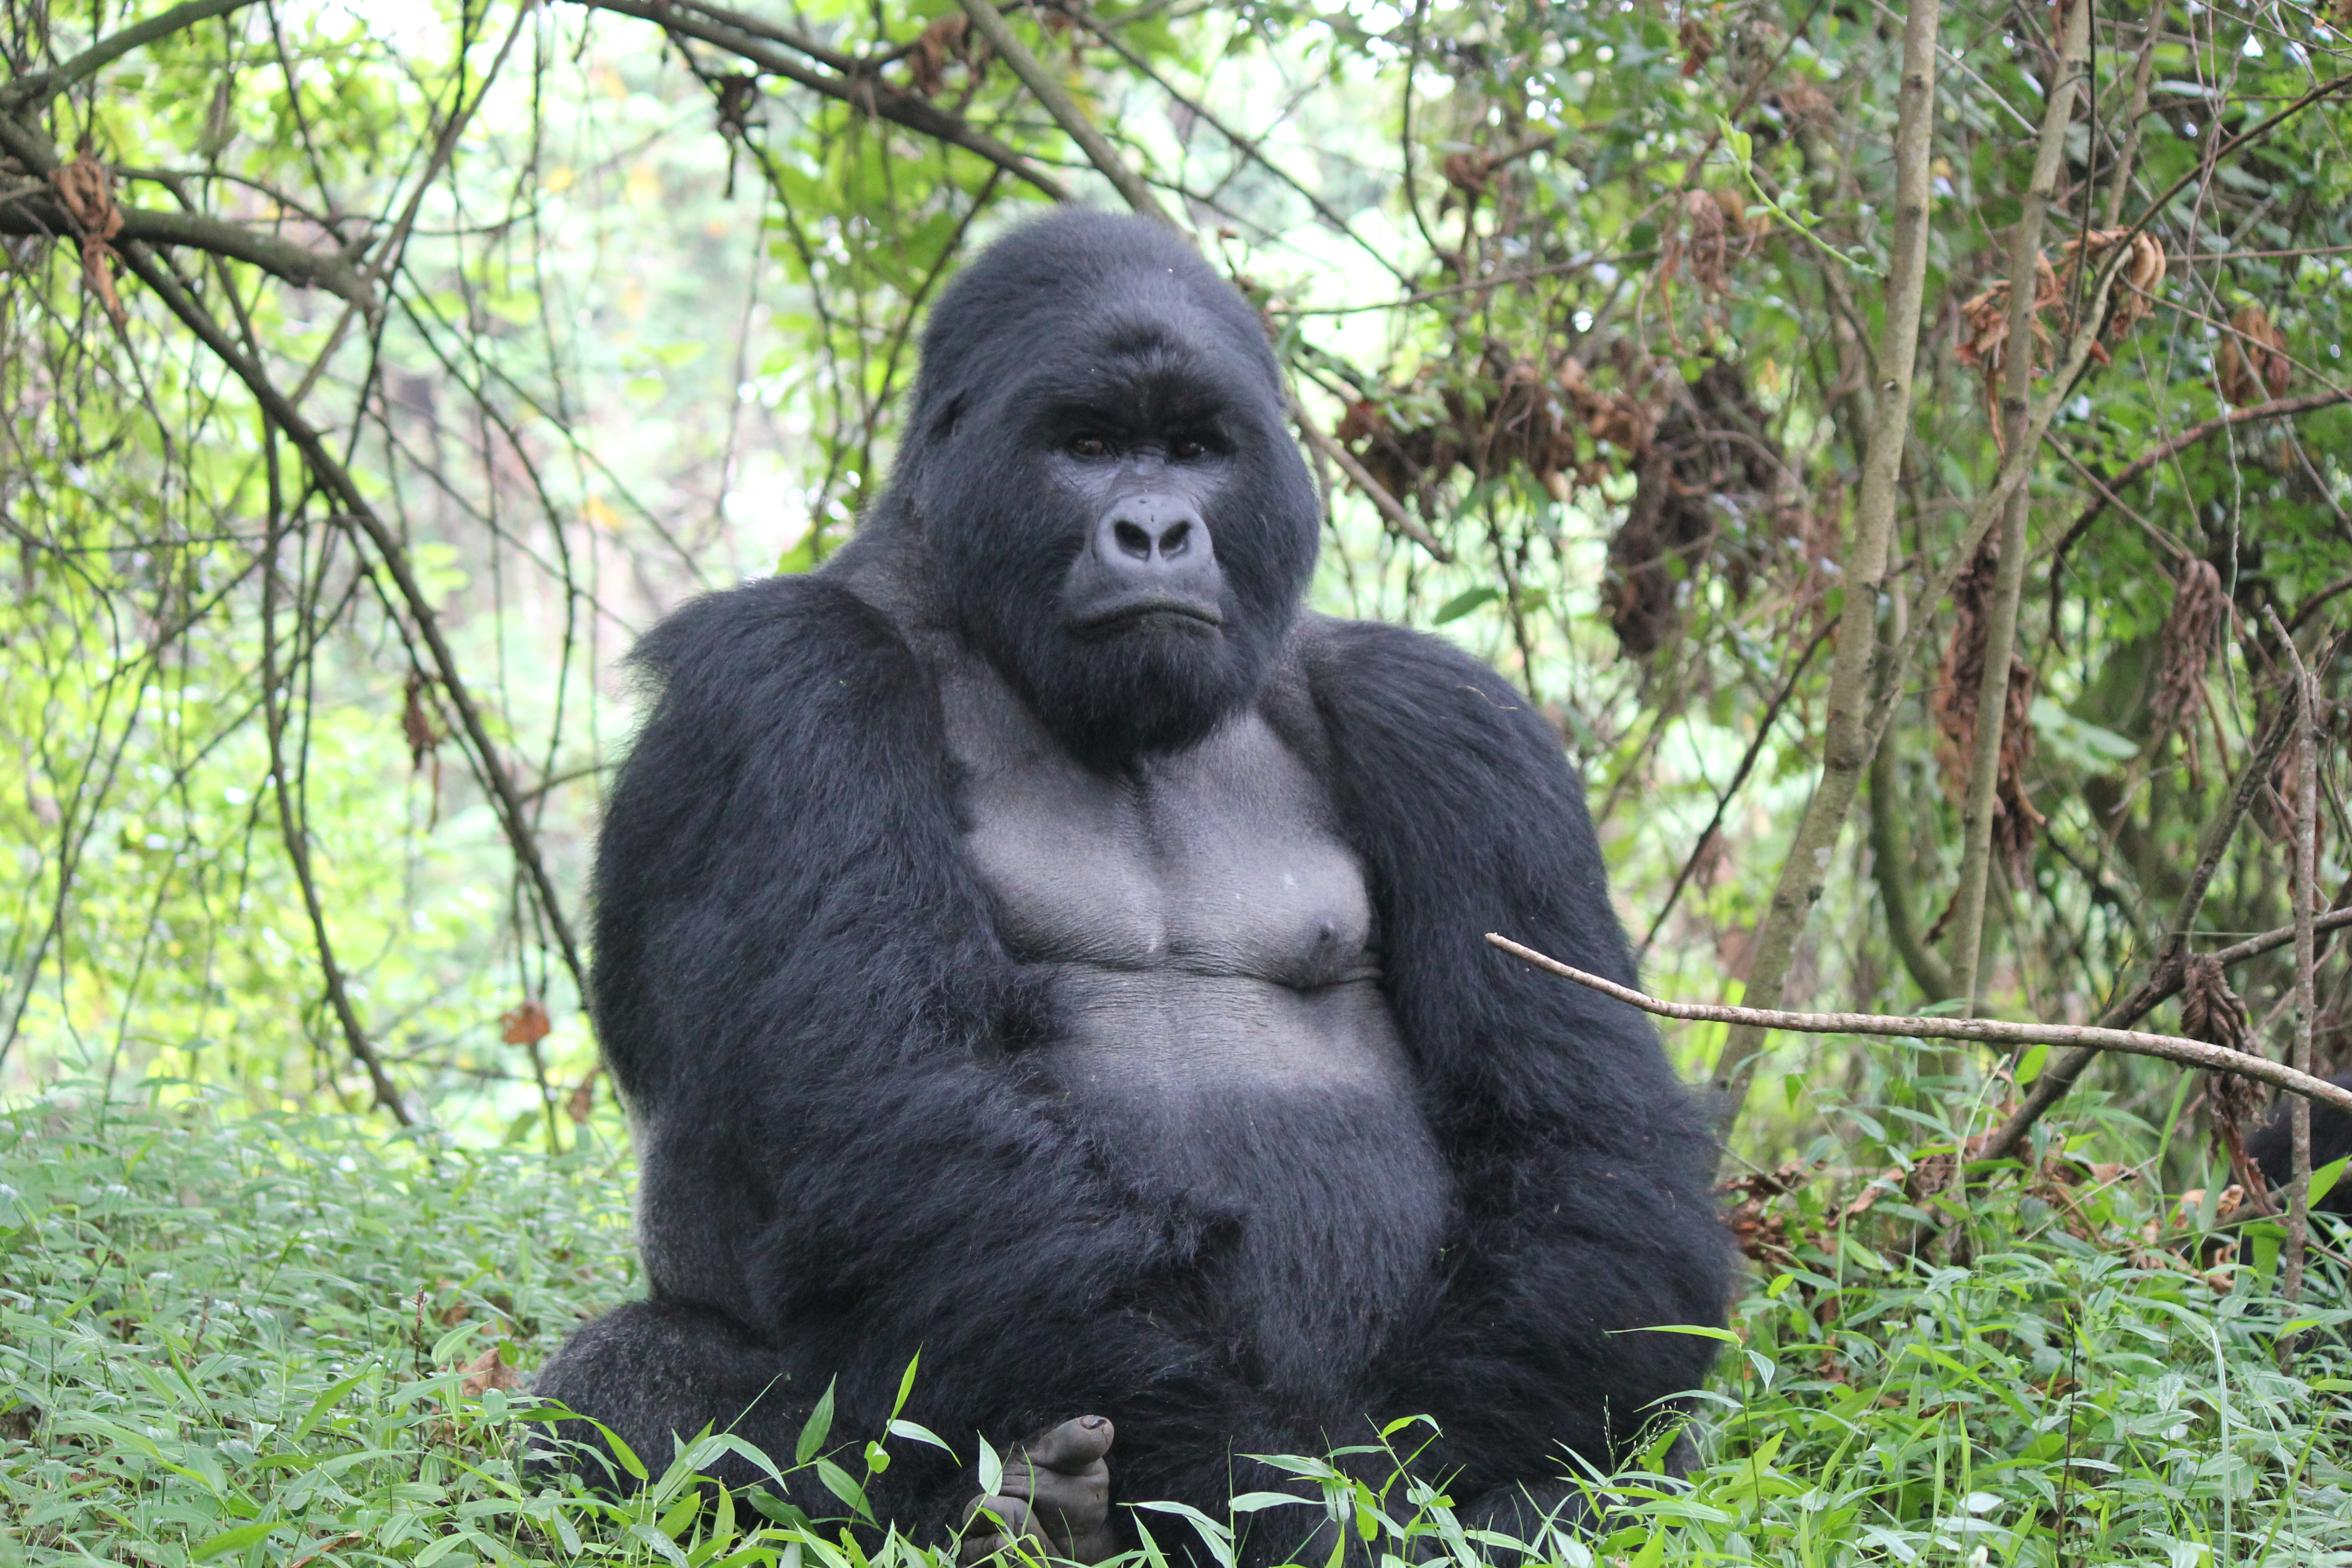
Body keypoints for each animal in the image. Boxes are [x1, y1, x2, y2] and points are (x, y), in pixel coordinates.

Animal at [541, 211, 1740, 1568]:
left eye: (1196, 450)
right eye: (1088, 446)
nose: (1157, 532)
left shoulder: (1455, 722)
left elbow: (1584, 1145)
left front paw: (1450, 1500)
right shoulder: (781, 682)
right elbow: (896, 1108)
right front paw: (1269, 1503)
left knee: (1650, 1442)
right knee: (630, 1385)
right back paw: (1018, 1511)